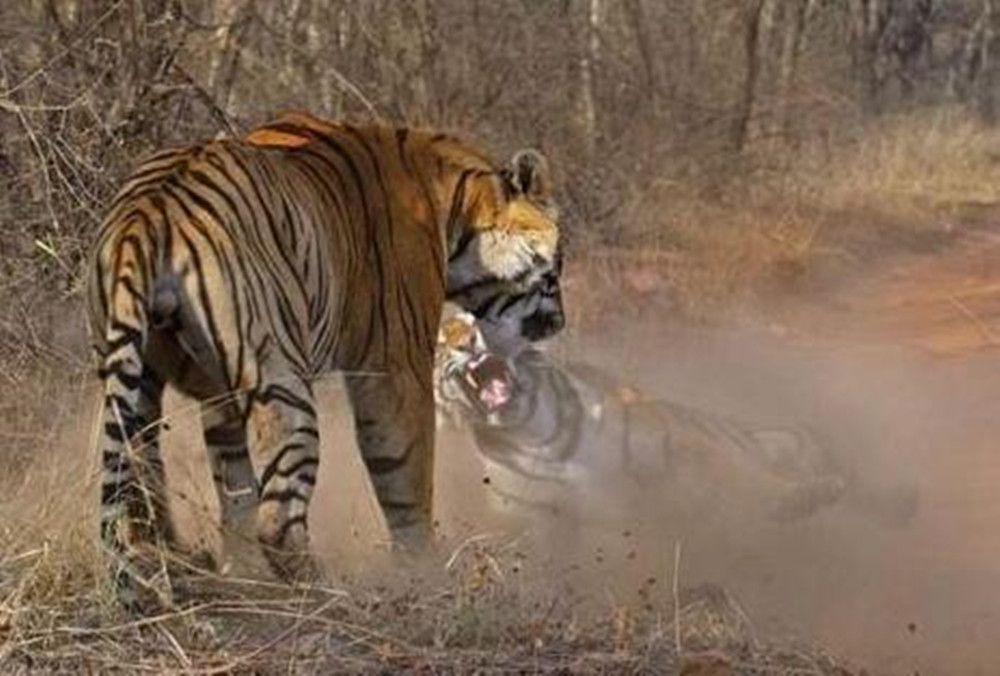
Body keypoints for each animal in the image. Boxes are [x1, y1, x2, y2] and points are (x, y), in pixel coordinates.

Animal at [86, 112, 564, 608]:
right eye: (556, 266)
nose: (558, 322)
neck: (457, 202)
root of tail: (149, 209)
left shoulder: (217, 391)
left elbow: (234, 484)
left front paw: (239, 570)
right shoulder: (395, 366)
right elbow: (405, 476)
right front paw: (423, 571)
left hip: (136, 380)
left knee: (139, 489)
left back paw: (178, 563)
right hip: (282, 383)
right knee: (278, 518)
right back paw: (326, 590)